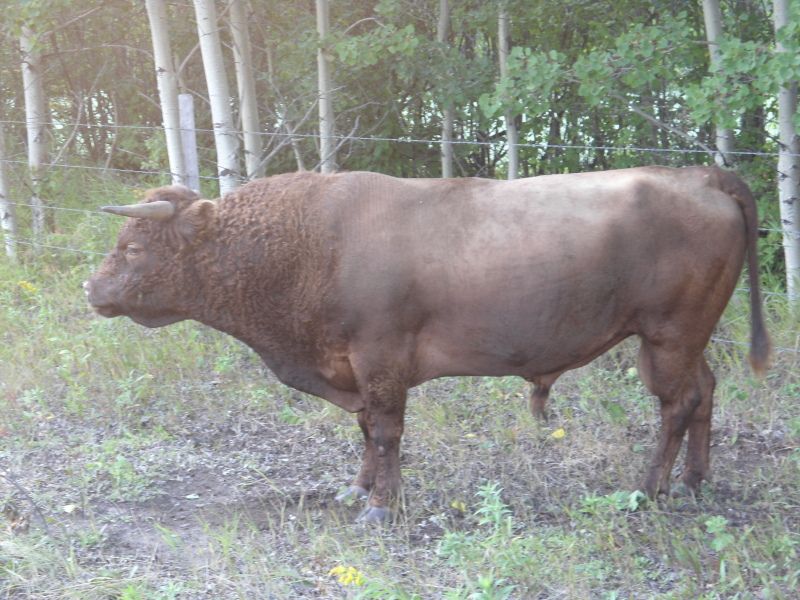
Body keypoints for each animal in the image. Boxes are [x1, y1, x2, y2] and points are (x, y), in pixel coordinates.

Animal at [85, 166, 770, 524]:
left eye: (134, 247)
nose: (92, 289)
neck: (310, 244)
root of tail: (698, 174)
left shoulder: (380, 359)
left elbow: (386, 431)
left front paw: (380, 507)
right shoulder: (354, 368)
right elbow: (365, 429)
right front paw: (357, 489)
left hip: (667, 338)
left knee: (676, 405)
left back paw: (650, 490)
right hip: (685, 342)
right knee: (705, 393)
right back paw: (695, 482)